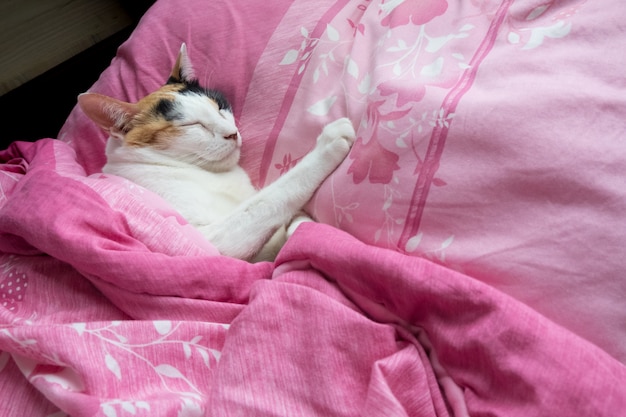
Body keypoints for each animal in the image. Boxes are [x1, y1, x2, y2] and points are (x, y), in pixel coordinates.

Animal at [78, 44, 354, 260]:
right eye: (191, 125)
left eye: (219, 106)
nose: (232, 133)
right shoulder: (213, 239)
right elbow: (270, 198)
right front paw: (329, 142)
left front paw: (301, 228)